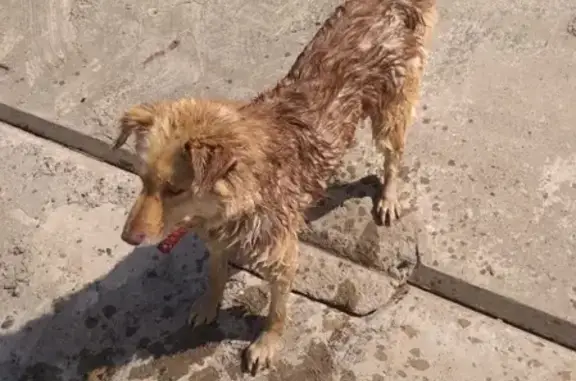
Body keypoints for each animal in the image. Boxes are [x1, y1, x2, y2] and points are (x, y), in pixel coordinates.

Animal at [112, 0, 436, 374]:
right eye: (142, 178)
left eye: (176, 189)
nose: (127, 238)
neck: (241, 194)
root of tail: (389, 5)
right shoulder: (218, 240)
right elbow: (215, 274)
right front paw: (209, 304)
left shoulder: (282, 258)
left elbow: (276, 312)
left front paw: (266, 343)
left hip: (390, 113)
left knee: (393, 158)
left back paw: (388, 197)